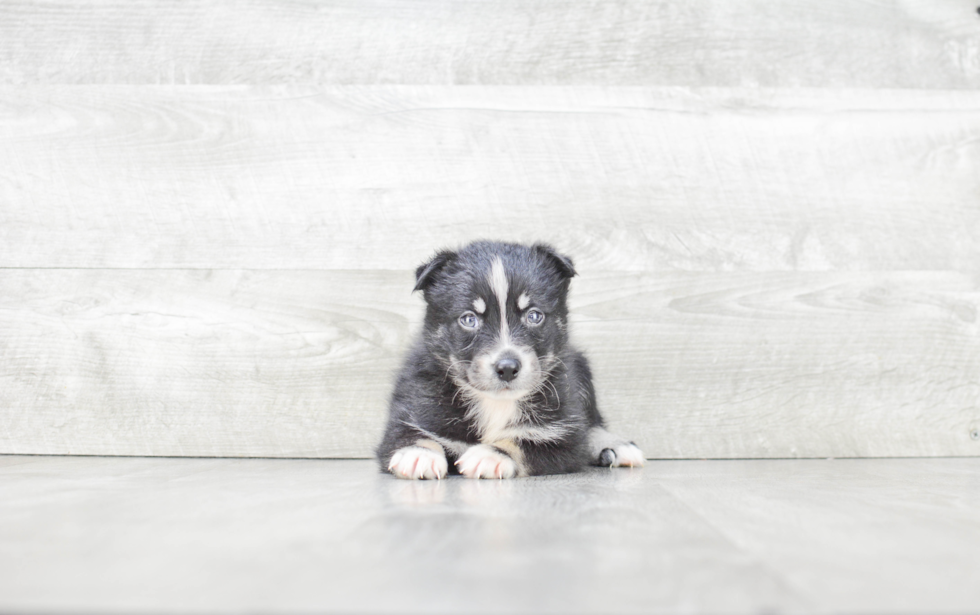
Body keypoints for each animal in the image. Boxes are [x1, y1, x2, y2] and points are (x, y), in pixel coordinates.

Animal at [376, 242, 644, 482]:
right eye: (469, 319)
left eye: (534, 316)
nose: (507, 368)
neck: (495, 403)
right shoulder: (413, 409)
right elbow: (408, 433)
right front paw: (417, 454)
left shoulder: (564, 435)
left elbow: (526, 442)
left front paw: (491, 455)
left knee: (593, 423)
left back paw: (617, 446)